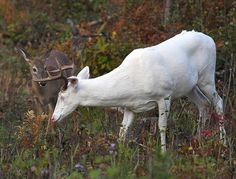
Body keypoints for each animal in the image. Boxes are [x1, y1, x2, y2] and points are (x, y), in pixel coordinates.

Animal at [50, 30, 226, 152]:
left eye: (62, 96)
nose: (53, 118)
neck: (131, 85)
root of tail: (210, 39)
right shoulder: (130, 107)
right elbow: (122, 133)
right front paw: (119, 156)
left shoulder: (165, 95)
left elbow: (162, 126)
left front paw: (163, 153)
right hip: (189, 87)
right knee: (203, 104)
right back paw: (199, 139)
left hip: (207, 76)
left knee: (218, 102)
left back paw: (223, 142)